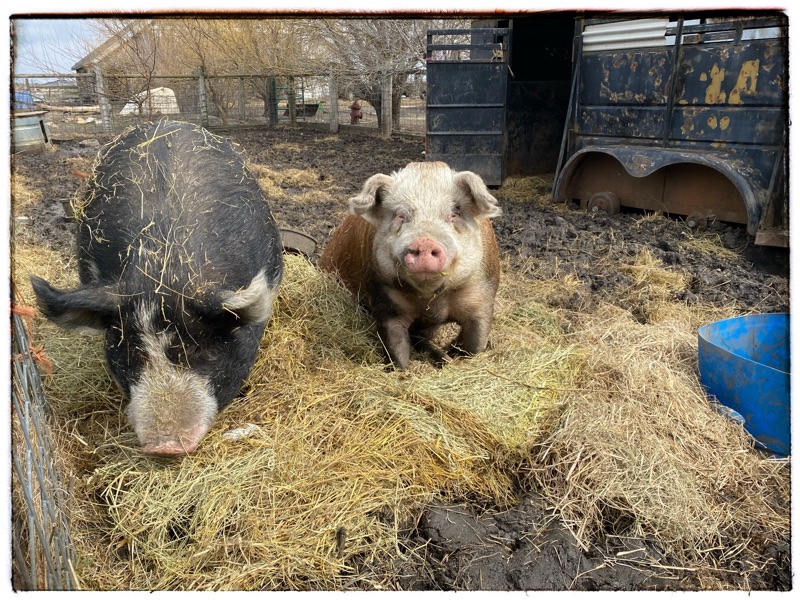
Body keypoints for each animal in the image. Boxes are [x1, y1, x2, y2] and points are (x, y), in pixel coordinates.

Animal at [319, 161, 502, 369]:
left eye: (454, 214)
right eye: (400, 216)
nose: (425, 242)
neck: (431, 301)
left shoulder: (483, 294)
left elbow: (476, 343)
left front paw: (457, 357)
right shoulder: (385, 297)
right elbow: (395, 345)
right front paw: (403, 371)